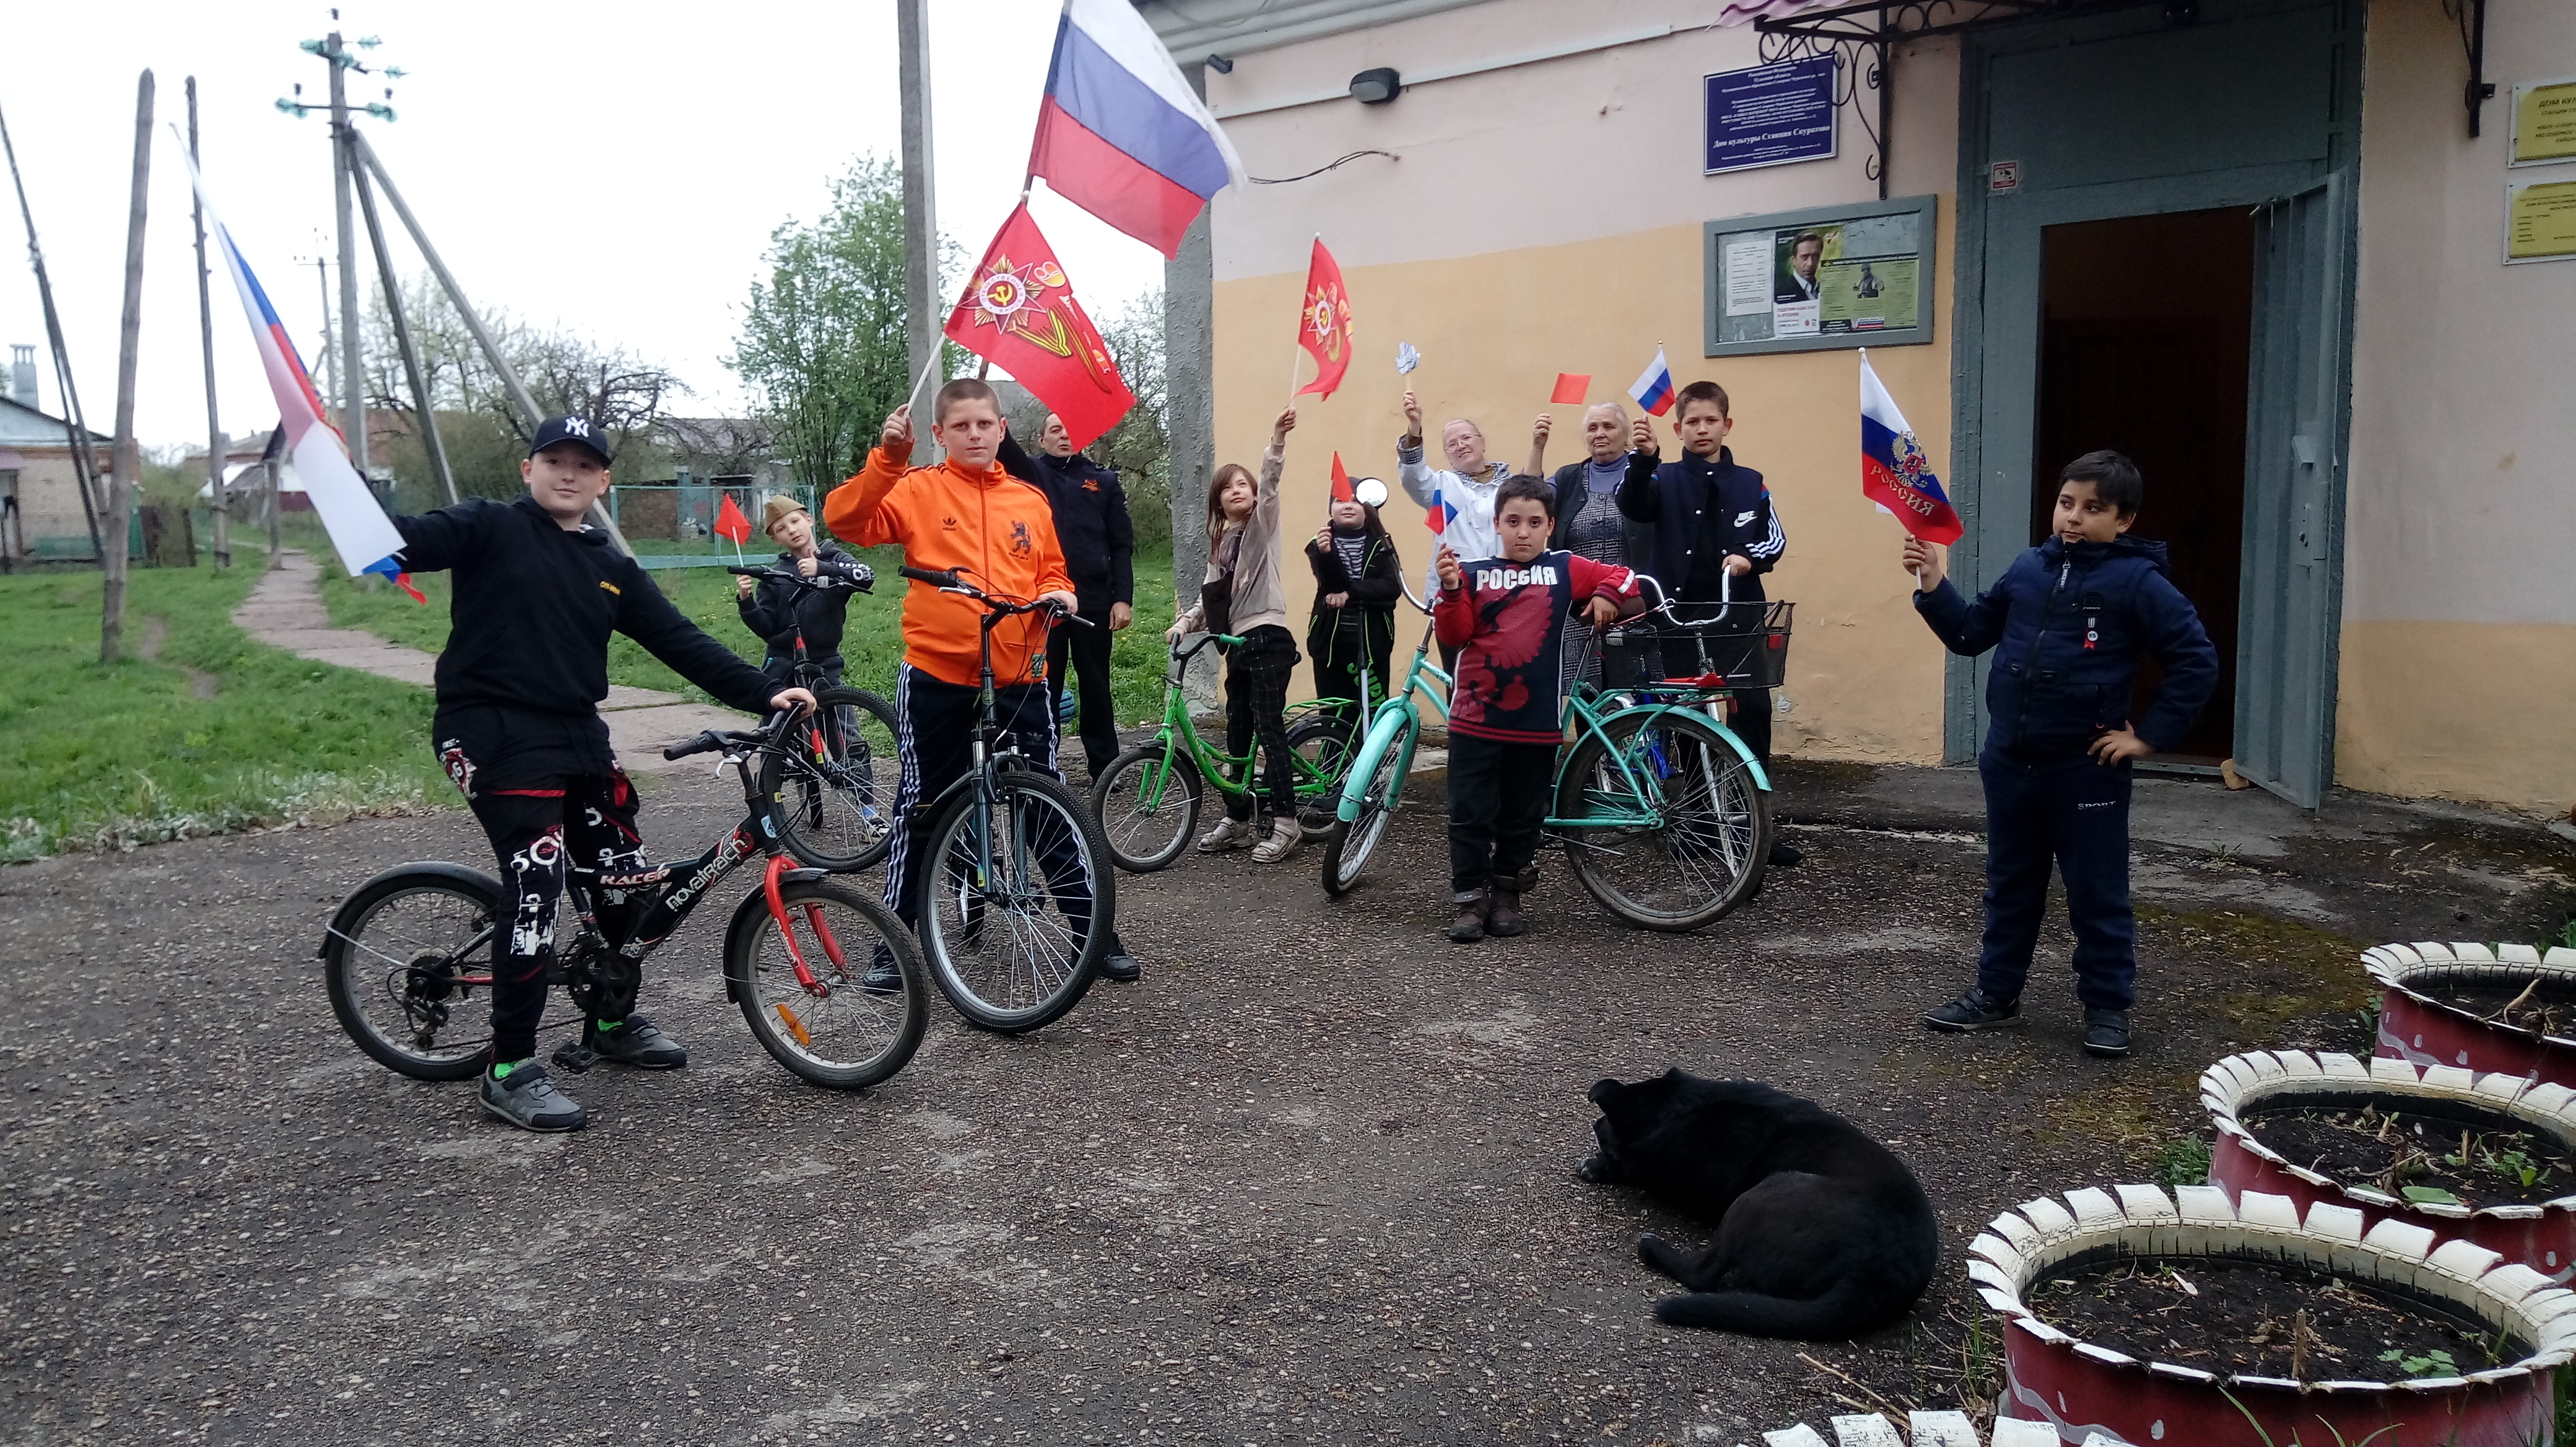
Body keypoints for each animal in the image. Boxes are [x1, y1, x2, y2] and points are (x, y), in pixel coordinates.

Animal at [1576, 1065, 1937, 1339]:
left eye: (1605, 1125)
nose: (1595, 1123)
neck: (1692, 1110)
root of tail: (1868, 1281)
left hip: (1761, 1195)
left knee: (1703, 1274)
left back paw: (1652, 1248)